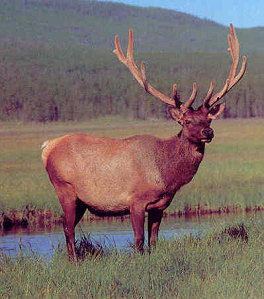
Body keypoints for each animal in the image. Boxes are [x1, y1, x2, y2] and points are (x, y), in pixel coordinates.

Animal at [40, 24, 245, 262]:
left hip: (81, 200)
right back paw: (74, 261)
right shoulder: (135, 200)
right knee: (67, 227)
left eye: (209, 119)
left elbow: (153, 240)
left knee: (69, 225)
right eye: (187, 121)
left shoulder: (160, 205)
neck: (166, 175)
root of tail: (47, 148)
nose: (208, 132)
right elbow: (138, 241)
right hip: (64, 188)